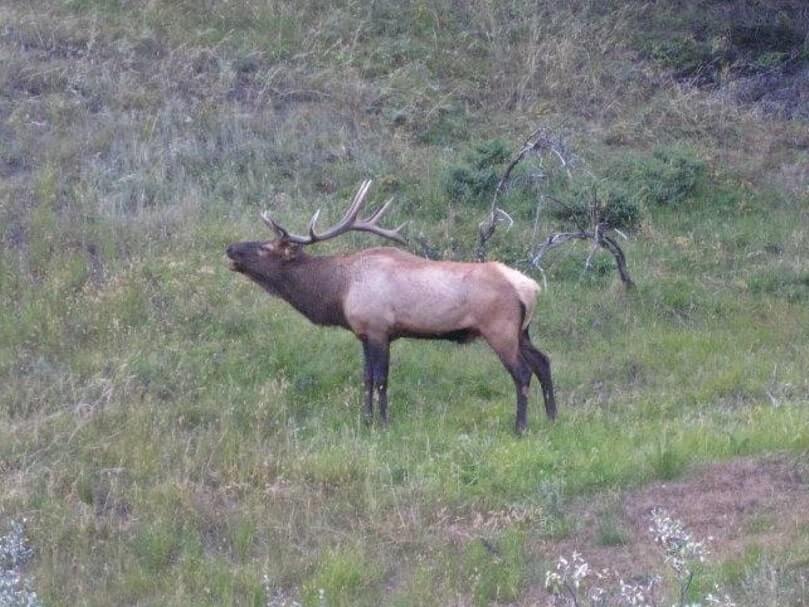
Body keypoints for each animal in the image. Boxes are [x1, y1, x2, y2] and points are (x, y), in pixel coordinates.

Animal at [226, 180, 557, 433]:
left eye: (266, 247)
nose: (230, 248)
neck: (340, 291)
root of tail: (531, 288)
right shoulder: (363, 334)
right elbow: (367, 378)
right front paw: (365, 420)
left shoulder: (379, 329)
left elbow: (382, 380)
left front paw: (382, 424)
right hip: (522, 331)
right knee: (543, 361)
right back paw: (553, 417)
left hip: (499, 329)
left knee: (522, 372)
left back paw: (520, 427)